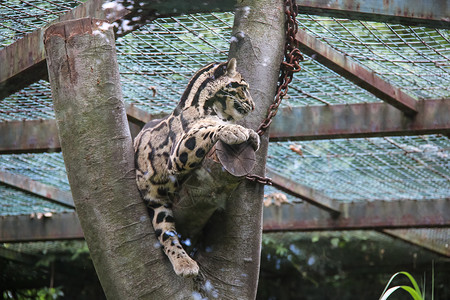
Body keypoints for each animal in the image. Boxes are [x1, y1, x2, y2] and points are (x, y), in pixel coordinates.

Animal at [134, 58, 260, 276]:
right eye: (243, 88)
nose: (252, 106)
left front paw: (252, 134)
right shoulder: (177, 154)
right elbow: (207, 130)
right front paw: (234, 130)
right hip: (156, 201)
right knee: (166, 235)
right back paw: (185, 264)